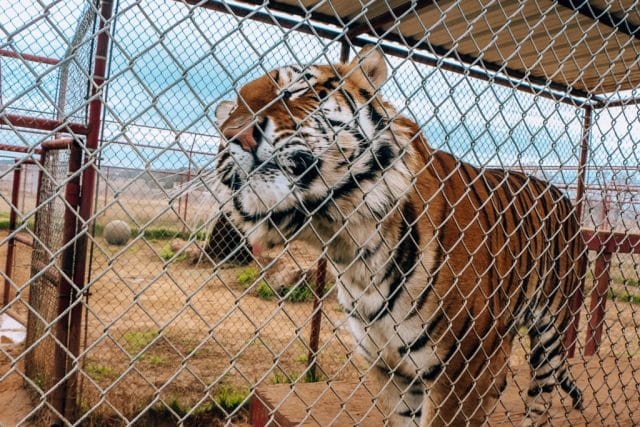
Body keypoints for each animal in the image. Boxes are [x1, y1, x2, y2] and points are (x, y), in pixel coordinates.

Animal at [214, 45, 584, 426]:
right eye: (231, 112)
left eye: (296, 90)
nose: (233, 135)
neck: (350, 248)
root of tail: (564, 197)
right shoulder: (392, 369)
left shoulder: (465, 373)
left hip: (551, 328)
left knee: (541, 397)